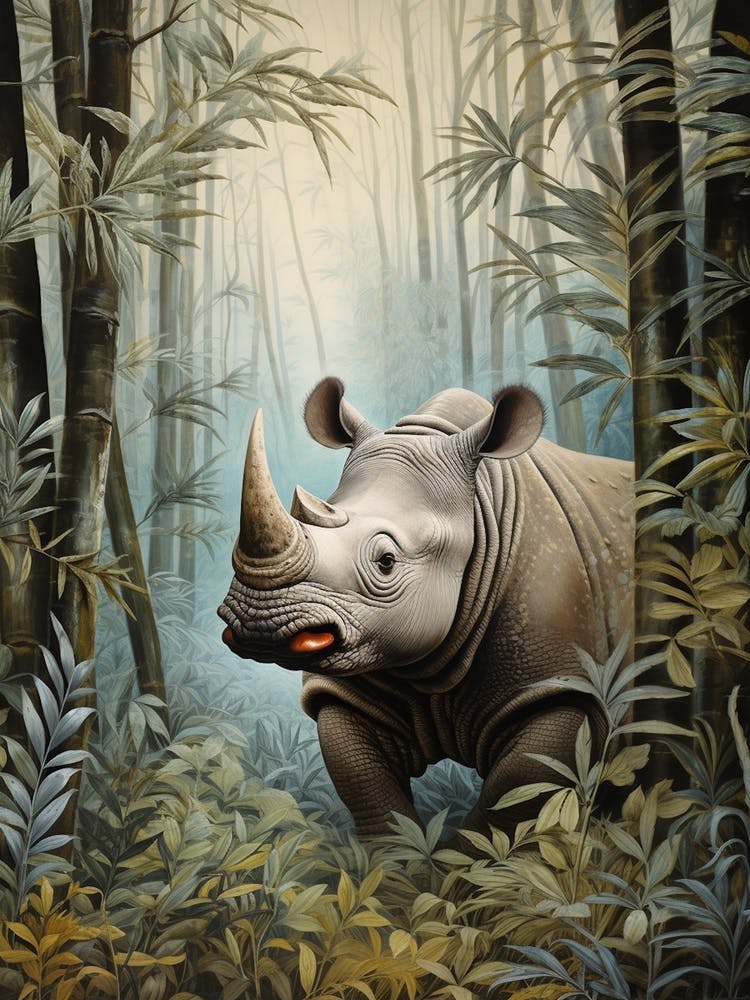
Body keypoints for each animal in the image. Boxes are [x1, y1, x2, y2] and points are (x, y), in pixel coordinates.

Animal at [218, 377, 633, 837]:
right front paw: (403, 856)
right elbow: (369, 792)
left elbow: (505, 808)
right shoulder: (357, 675)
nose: (258, 623)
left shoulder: (563, 684)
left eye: (386, 561)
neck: (481, 509)